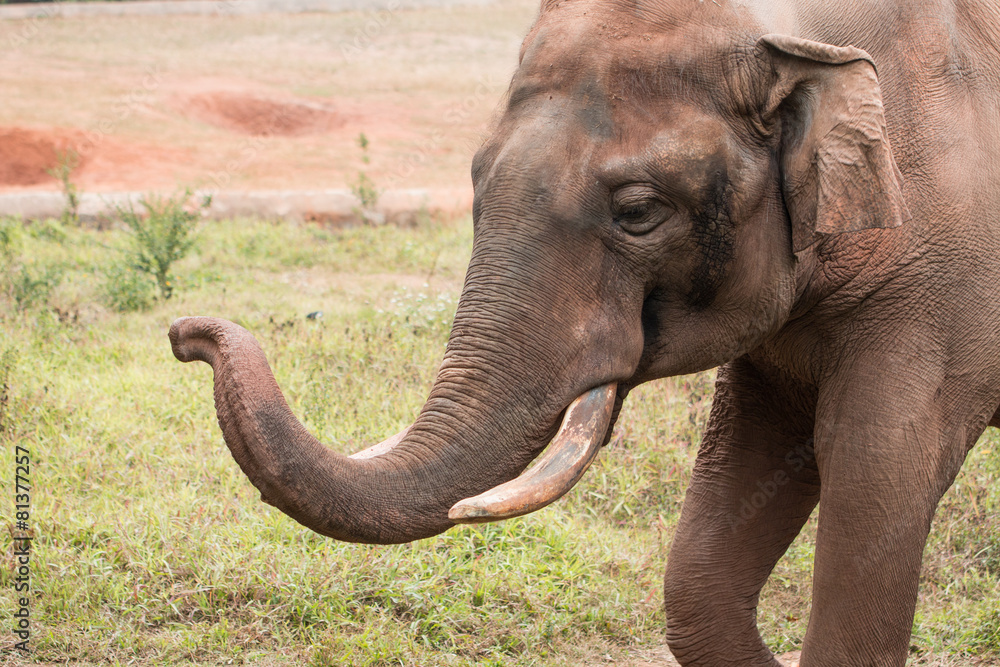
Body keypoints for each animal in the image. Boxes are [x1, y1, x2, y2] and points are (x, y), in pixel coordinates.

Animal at [169, 0, 1000, 664]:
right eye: (475, 179)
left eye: (638, 211)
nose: (186, 334)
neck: (799, 37)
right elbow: (717, 532)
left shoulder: (942, 288)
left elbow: (876, 468)